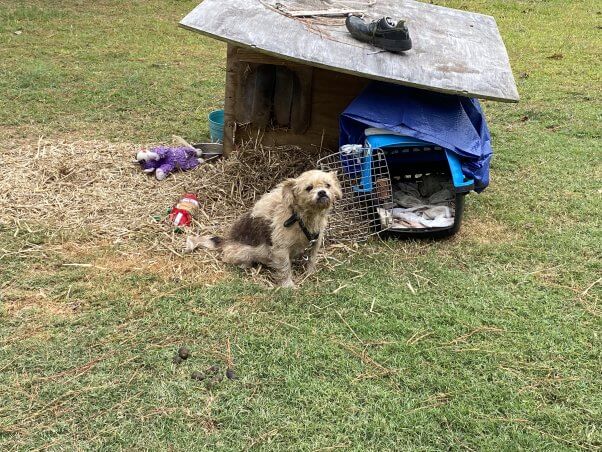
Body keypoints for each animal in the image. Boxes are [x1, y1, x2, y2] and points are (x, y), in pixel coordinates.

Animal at [185, 170, 340, 286]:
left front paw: (310, 274)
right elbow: (285, 268)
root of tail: (224, 241)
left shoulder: (316, 242)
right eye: (309, 188)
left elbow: (312, 259)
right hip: (245, 253)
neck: (300, 218)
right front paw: (288, 286)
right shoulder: (281, 249)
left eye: (328, 185)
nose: (322, 192)